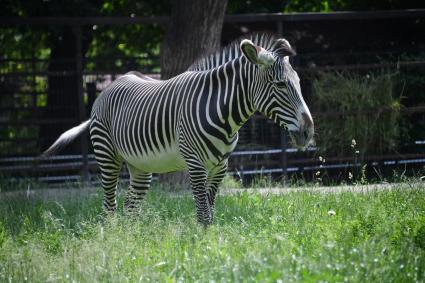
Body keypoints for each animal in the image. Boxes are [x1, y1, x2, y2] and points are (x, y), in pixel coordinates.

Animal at [43, 33, 314, 226]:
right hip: (107, 155)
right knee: (109, 206)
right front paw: (204, 253)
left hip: (141, 166)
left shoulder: (220, 166)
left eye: (299, 82)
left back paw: (132, 246)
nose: (308, 132)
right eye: (280, 85)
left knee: (130, 207)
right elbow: (203, 215)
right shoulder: (195, 163)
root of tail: (113, 84)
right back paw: (114, 243)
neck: (222, 112)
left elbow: (210, 212)